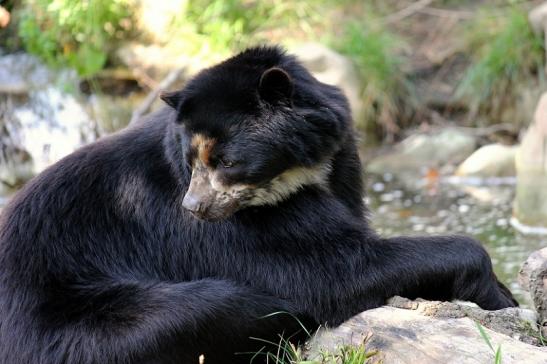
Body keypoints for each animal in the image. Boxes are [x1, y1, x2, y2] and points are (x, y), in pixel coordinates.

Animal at [0, 46, 520, 364]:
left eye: (226, 160)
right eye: (190, 160)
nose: (193, 208)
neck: (295, 175)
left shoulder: (341, 166)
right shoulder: (232, 229)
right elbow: (331, 273)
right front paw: (501, 295)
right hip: (71, 325)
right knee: (220, 306)